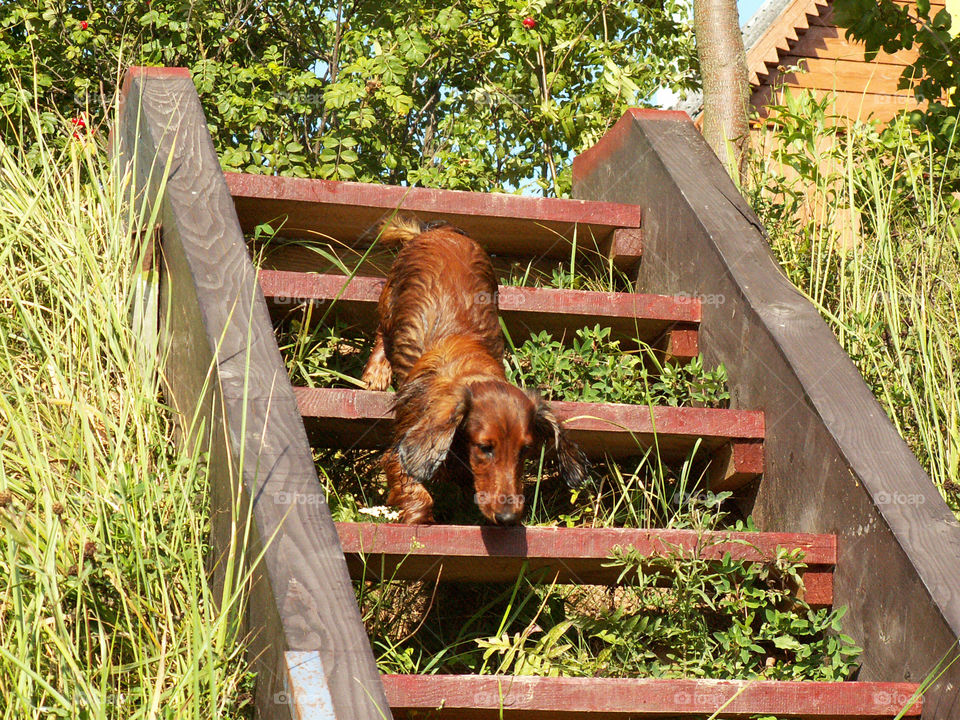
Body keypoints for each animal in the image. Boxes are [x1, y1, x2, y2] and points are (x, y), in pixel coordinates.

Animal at [360, 214, 584, 524]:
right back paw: (377, 372)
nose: (508, 519)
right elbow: (416, 491)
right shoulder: (401, 446)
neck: (471, 371)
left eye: (525, 450)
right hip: (391, 299)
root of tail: (441, 231)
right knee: (382, 331)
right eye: (484, 448)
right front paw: (419, 521)